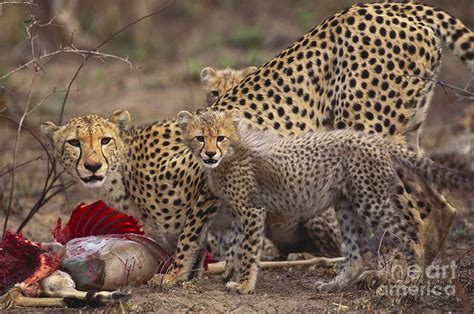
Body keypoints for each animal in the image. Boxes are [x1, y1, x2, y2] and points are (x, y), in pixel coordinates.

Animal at [176, 109, 472, 294]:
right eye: (200, 138)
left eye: (220, 137)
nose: (210, 154)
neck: (231, 154)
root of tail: (369, 138)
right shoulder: (242, 213)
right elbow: (238, 247)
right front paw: (230, 274)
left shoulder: (252, 209)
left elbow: (249, 250)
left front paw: (245, 285)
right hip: (345, 204)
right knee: (356, 252)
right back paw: (335, 285)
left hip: (371, 199)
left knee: (412, 229)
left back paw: (412, 279)